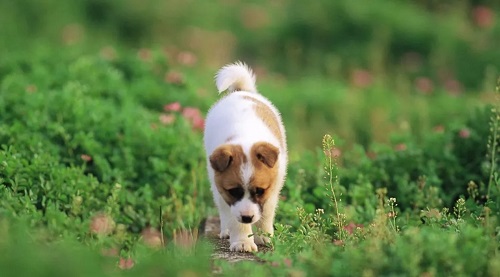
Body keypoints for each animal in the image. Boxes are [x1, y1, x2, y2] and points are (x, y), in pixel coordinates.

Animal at [203, 61, 288, 251]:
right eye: (234, 191)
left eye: (259, 190)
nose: (248, 218)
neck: (245, 138)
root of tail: (241, 91)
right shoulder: (226, 194)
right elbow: (235, 218)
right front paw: (243, 241)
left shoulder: (272, 188)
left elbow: (266, 214)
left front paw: (264, 237)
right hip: (215, 186)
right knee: (224, 210)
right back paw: (227, 230)